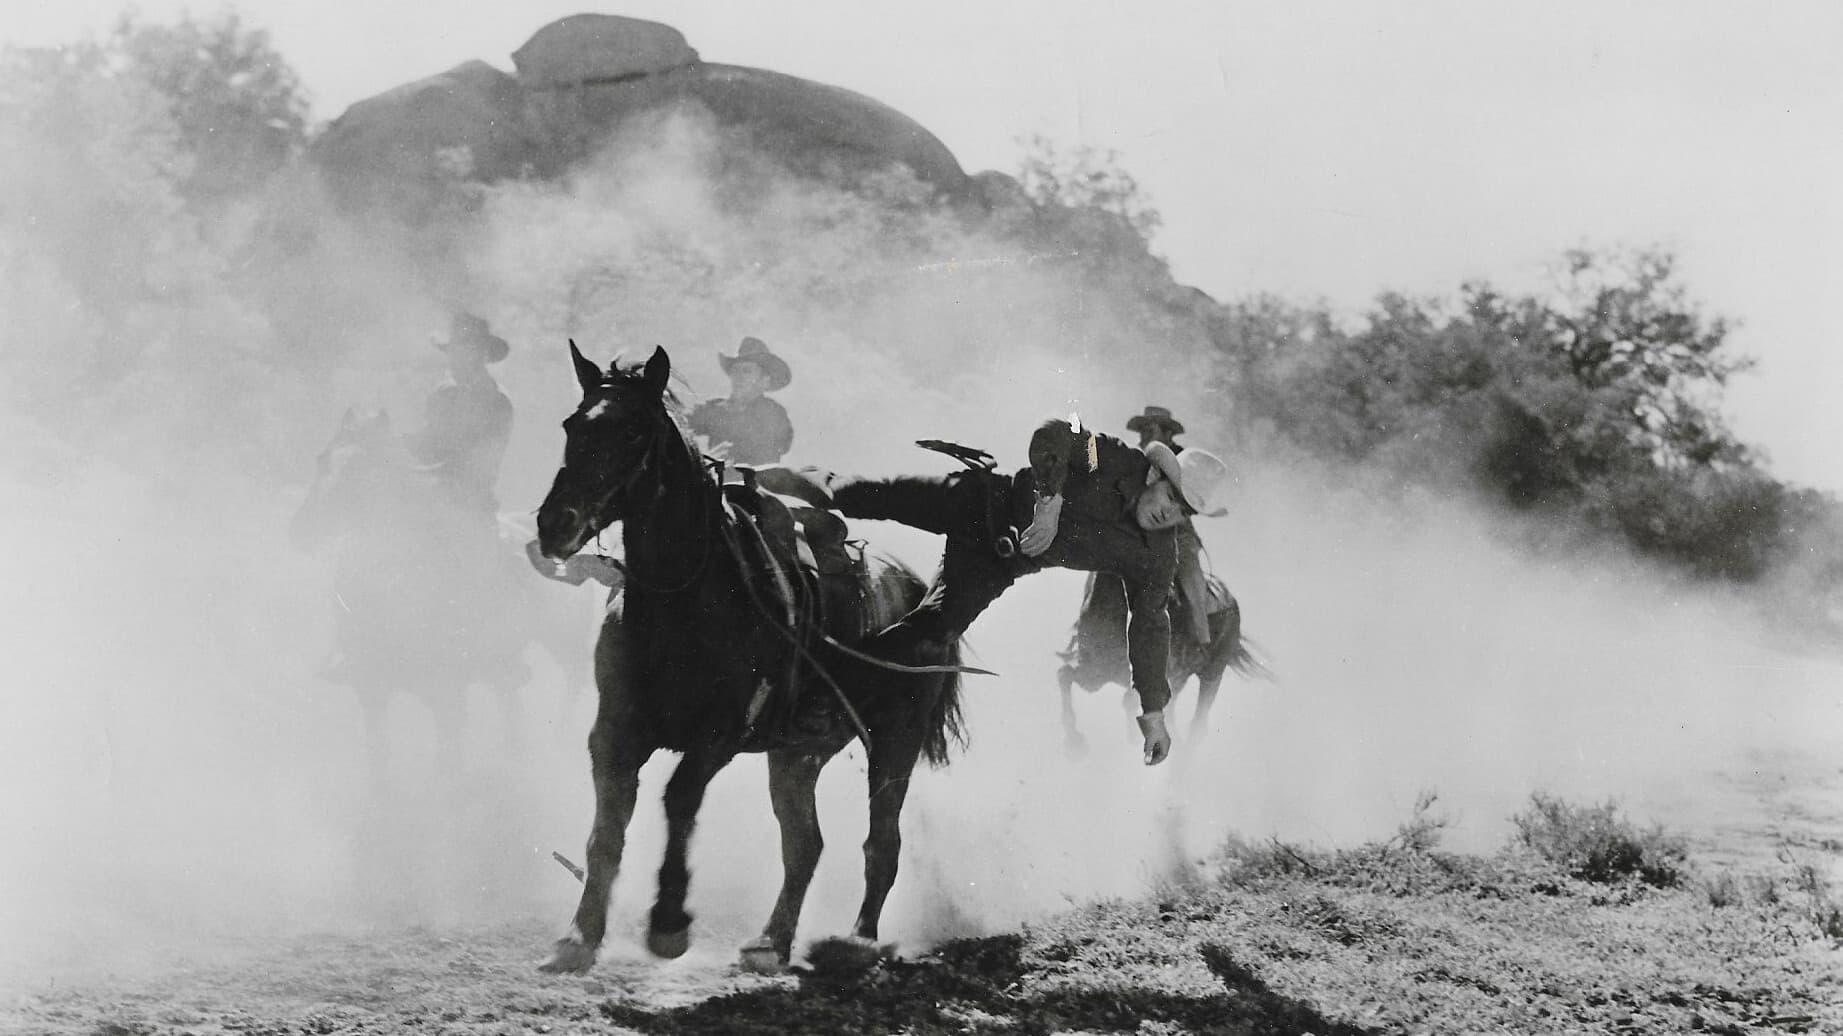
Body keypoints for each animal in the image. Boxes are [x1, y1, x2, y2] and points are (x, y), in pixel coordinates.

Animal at [285, 407, 597, 785]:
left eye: (360, 469)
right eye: (322, 459)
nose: (302, 531)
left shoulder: (447, 690)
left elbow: (449, 759)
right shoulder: (372, 690)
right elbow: (381, 757)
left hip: (563, 642)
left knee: (571, 681)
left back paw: (558, 741)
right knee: (510, 699)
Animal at [530, 342, 965, 973]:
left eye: (633, 432)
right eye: (571, 425)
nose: (555, 524)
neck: (681, 603)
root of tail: (919, 587)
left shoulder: (719, 736)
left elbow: (678, 799)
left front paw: (668, 924)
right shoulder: (612, 732)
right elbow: (605, 831)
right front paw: (579, 937)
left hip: (895, 739)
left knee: (881, 844)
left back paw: (857, 943)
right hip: (798, 753)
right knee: (804, 844)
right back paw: (771, 942)